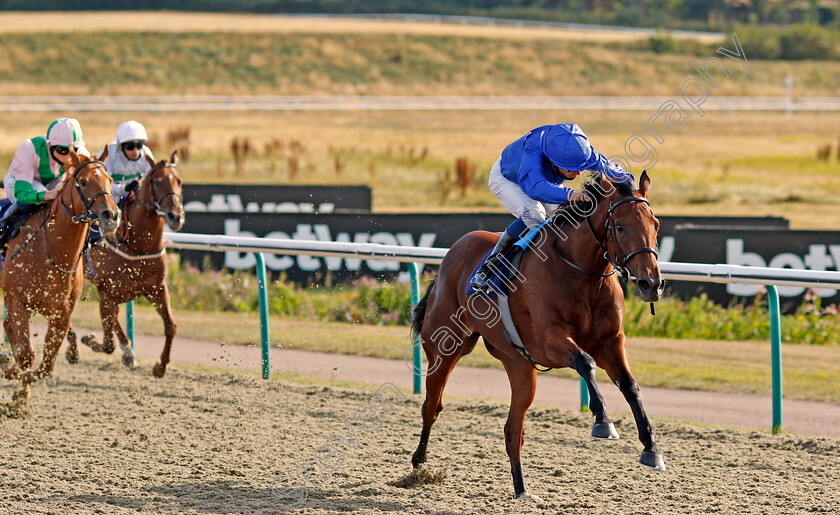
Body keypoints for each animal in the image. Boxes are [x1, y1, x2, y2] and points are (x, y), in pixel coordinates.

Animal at [0, 149, 120, 404]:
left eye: (110, 180)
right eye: (83, 181)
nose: (111, 215)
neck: (52, 253)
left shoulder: (61, 314)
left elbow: (46, 366)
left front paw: (20, 392)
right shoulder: (17, 301)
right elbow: (27, 355)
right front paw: (13, 379)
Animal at [66, 151, 185, 376]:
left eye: (179, 181)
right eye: (157, 182)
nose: (175, 216)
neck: (139, 244)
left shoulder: (156, 287)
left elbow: (171, 325)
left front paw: (161, 366)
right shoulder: (108, 293)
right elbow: (107, 343)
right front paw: (89, 339)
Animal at [410, 172, 668, 500]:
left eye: (655, 224)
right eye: (620, 226)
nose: (652, 284)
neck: (582, 274)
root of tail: (452, 253)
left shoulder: (610, 343)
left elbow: (630, 386)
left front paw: (651, 449)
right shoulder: (548, 342)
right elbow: (585, 362)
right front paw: (603, 421)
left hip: (519, 365)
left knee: (512, 429)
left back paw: (522, 490)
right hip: (445, 348)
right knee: (432, 406)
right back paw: (419, 464)